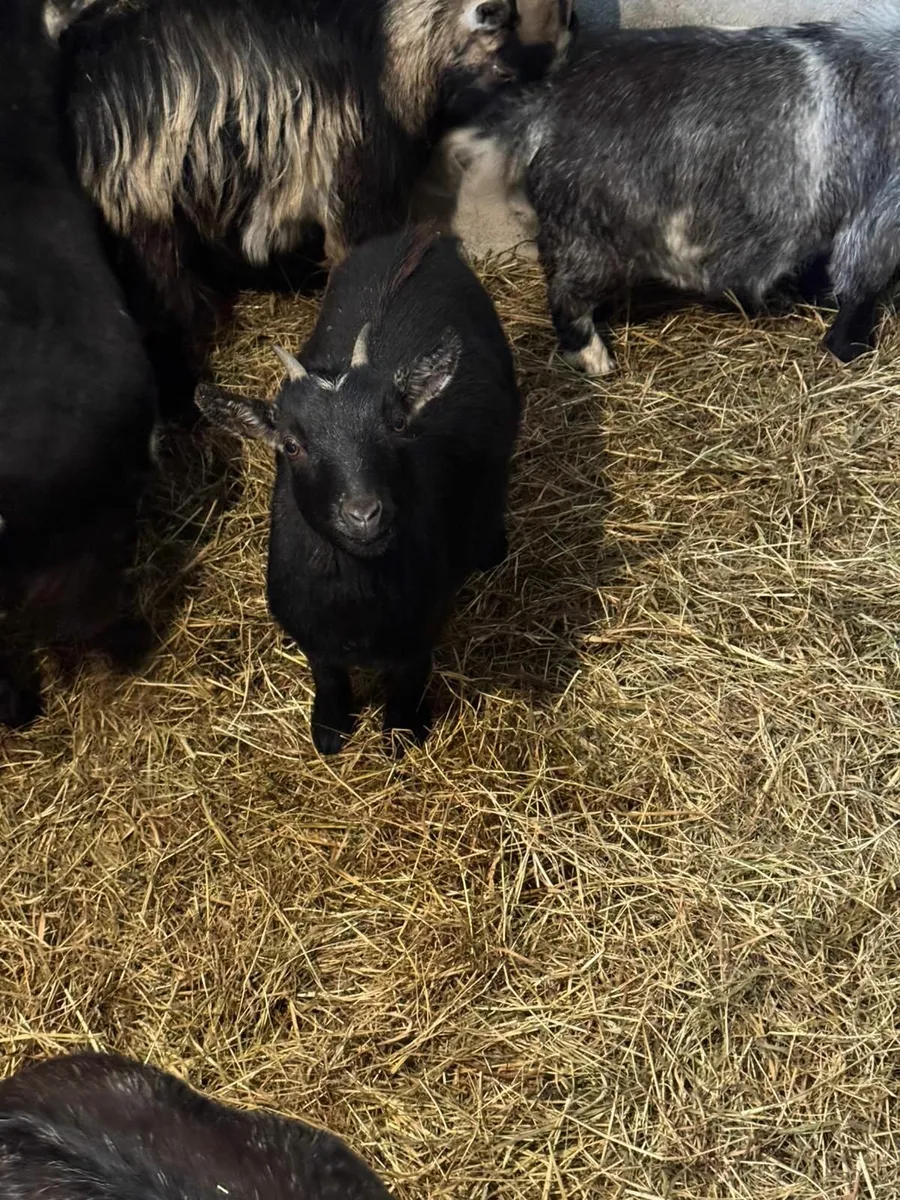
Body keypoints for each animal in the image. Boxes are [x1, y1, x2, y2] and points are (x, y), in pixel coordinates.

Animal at [197, 227, 520, 756]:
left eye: (397, 422)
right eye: (291, 445)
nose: (365, 513)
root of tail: (419, 238)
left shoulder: (420, 629)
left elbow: (409, 679)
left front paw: (403, 736)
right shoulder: (313, 636)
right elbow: (327, 675)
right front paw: (329, 730)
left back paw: (493, 549)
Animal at [457, 6, 900, 373]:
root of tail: (549, 102)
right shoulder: (877, 216)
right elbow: (861, 287)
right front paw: (850, 349)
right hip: (591, 240)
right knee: (566, 296)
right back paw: (596, 361)